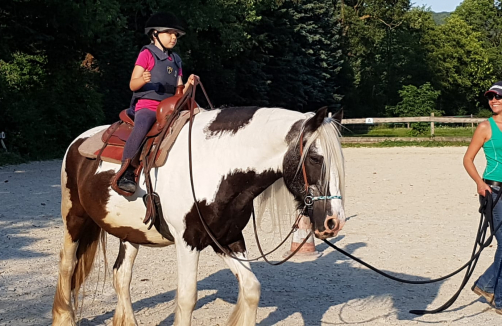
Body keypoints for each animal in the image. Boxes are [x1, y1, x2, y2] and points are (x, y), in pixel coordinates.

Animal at [53, 105, 348, 324]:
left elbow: (251, 289)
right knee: (67, 266)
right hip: (74, 219)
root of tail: (78, 142)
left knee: (121, 276)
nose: (334, 221)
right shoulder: (188, 242)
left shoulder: (227, 239)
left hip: (130, 233)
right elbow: (186, 299)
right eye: (315, 158)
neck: (214, 165)